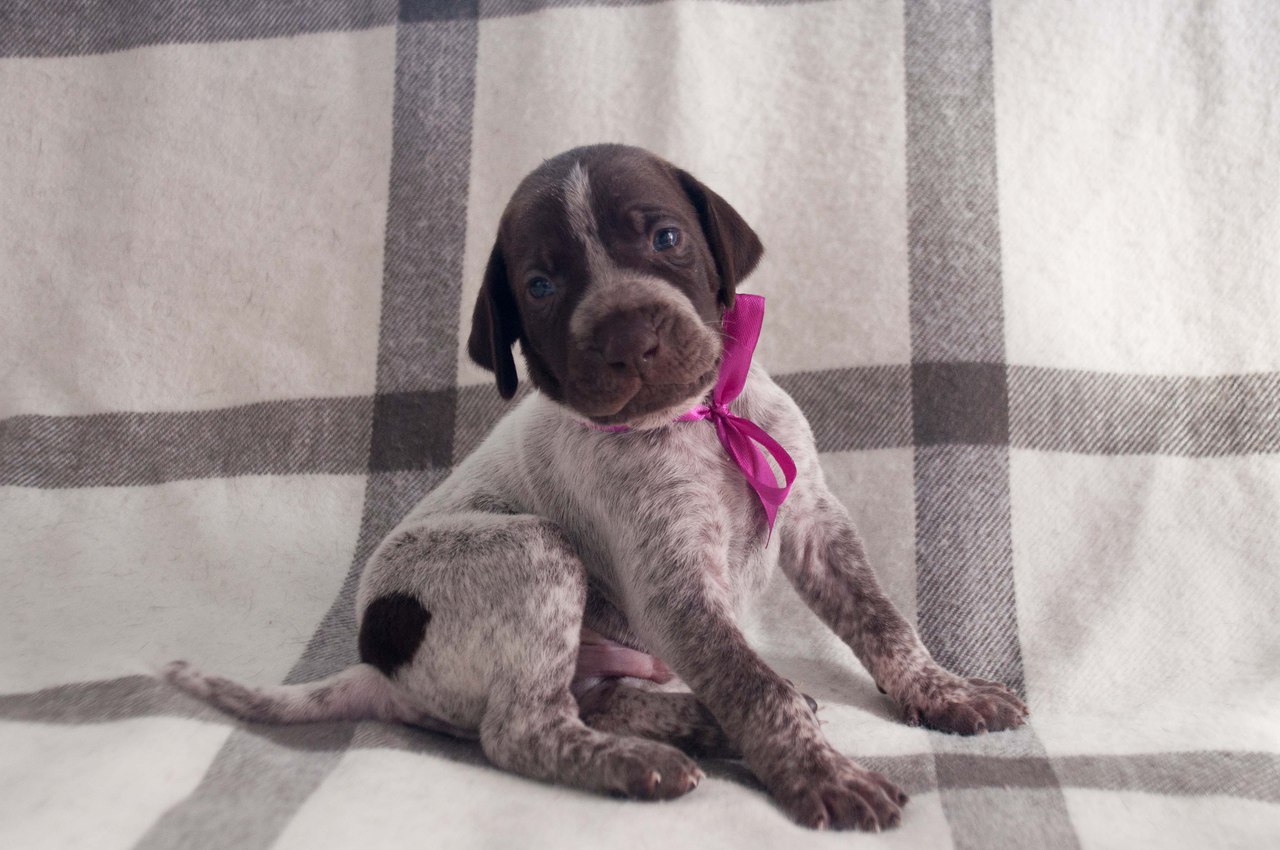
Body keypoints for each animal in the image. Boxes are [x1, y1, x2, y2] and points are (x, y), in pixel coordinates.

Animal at [165, 144, 1026, 831]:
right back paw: (635, 762)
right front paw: (822, 772)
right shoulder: (675, 583)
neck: (698, 416)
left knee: (593, 697)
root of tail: (380, 666)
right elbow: (756, 687)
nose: (629, 337)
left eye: (666, 238)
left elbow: (883, 621)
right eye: (542, 285)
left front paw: (942, 691)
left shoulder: (814, 521)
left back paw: (693, 723)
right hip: (533, 554)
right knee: (523, 729)